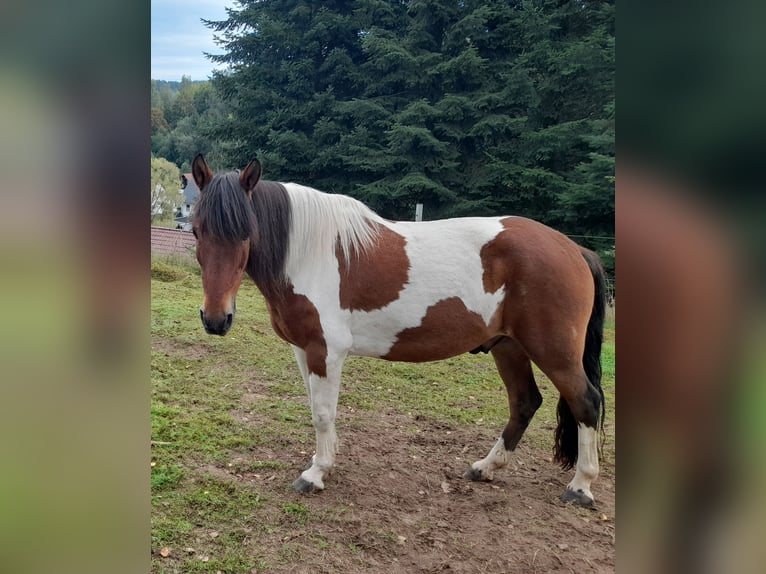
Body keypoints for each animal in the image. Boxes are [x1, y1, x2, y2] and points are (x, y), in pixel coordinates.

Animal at [190, 154, 608, 508]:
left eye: (246, 232)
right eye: (196, 231)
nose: (216, 319)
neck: (309, 252)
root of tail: (575, 249)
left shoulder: (326, 351)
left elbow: (323, 413)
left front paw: (315, 474)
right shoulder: (303, 349)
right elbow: (315, 407)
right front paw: (324, 460)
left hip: (554, 351)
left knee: (586, 402)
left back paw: (581, 487)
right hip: (509, 346)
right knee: (524, 402)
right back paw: (485, 468)